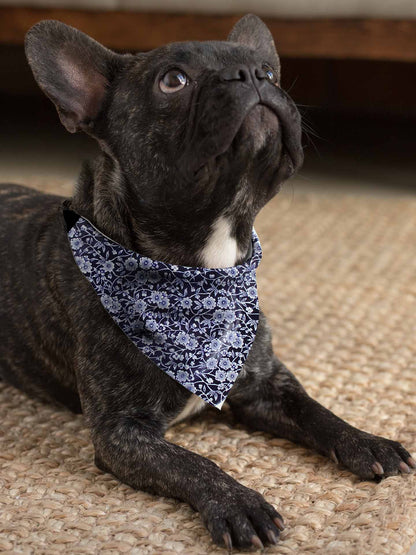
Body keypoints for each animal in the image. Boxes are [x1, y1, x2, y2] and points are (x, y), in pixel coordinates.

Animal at [0, 14, 412, 552]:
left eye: (269, 72)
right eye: (173, 80)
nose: (252, 74)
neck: (202, 268)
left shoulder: (266, 384)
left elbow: (316, 411)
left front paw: (366, 440)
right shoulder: (121, 433)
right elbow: (192, 462)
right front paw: (238, 503)